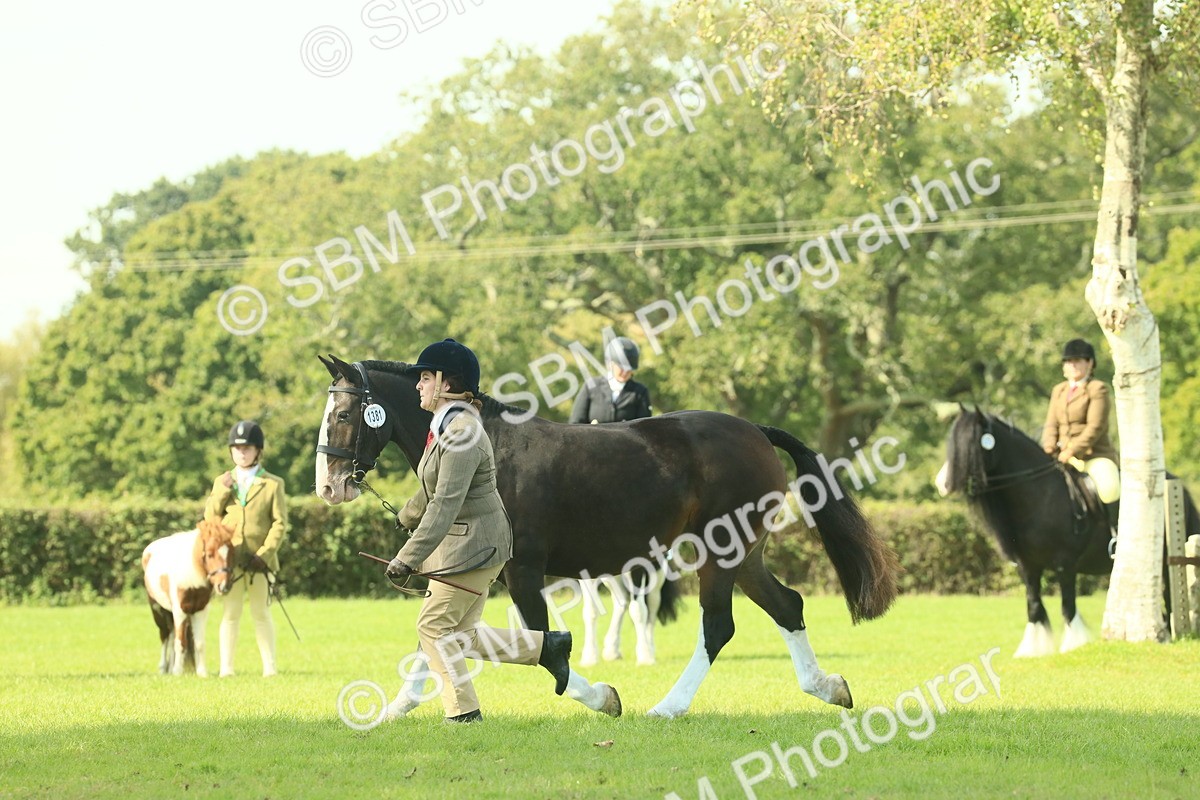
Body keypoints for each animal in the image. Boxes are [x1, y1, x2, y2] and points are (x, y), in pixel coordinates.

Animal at [142, 520, 236, 676]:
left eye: (231, 554)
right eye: (209, 554)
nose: (224, 586)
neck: (191, 578)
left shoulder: (200, 611)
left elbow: (199, 642)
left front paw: (202, 673)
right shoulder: (180, 611)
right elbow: (181, 642)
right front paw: (178, 672)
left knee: (171, 635)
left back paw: (170, 668)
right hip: (158, 609)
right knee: (165, 636)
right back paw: (163, 669)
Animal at [314, 355, 898, 717]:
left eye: (342, 413)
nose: (329, 486)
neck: (487, 441)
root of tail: (755, 431)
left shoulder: (521, 570)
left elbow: (542, 640)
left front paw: (600, 697)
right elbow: (435, 635)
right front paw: (397, 707)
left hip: (719, 552)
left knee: (718, 626)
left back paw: (667, 707)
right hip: (746, 555)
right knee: (788, 606)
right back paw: (827, 687)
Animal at [935, 407, 1200, 656]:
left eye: (971, 443)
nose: (942, 484)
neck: (1041, 494)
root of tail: (1176, 484)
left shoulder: (1065, 564)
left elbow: (1068, 606)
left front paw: (1073, 644)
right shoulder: (1027, 566)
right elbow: (1034, 605)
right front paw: (1033, 649)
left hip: (1163, 560)